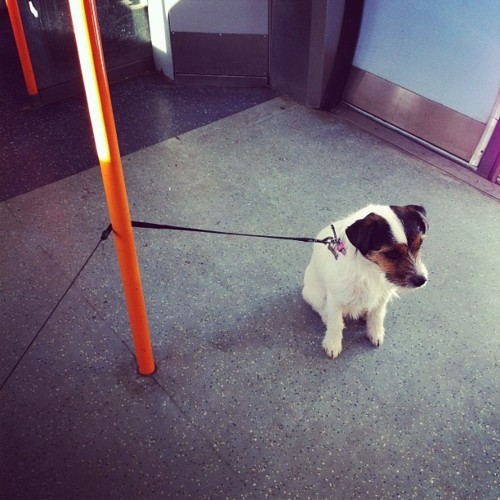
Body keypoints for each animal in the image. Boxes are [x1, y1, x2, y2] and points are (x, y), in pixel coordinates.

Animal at [302, 204, 428, 360]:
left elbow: (377, 315)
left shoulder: (382, 295)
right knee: (322, 308)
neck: (371, 269)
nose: (422, 280)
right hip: (314, 294)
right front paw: (332, 344)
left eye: (419, 245)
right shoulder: (335, 298)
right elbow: (335, 323)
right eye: (391, 254)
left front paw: (375, 332)